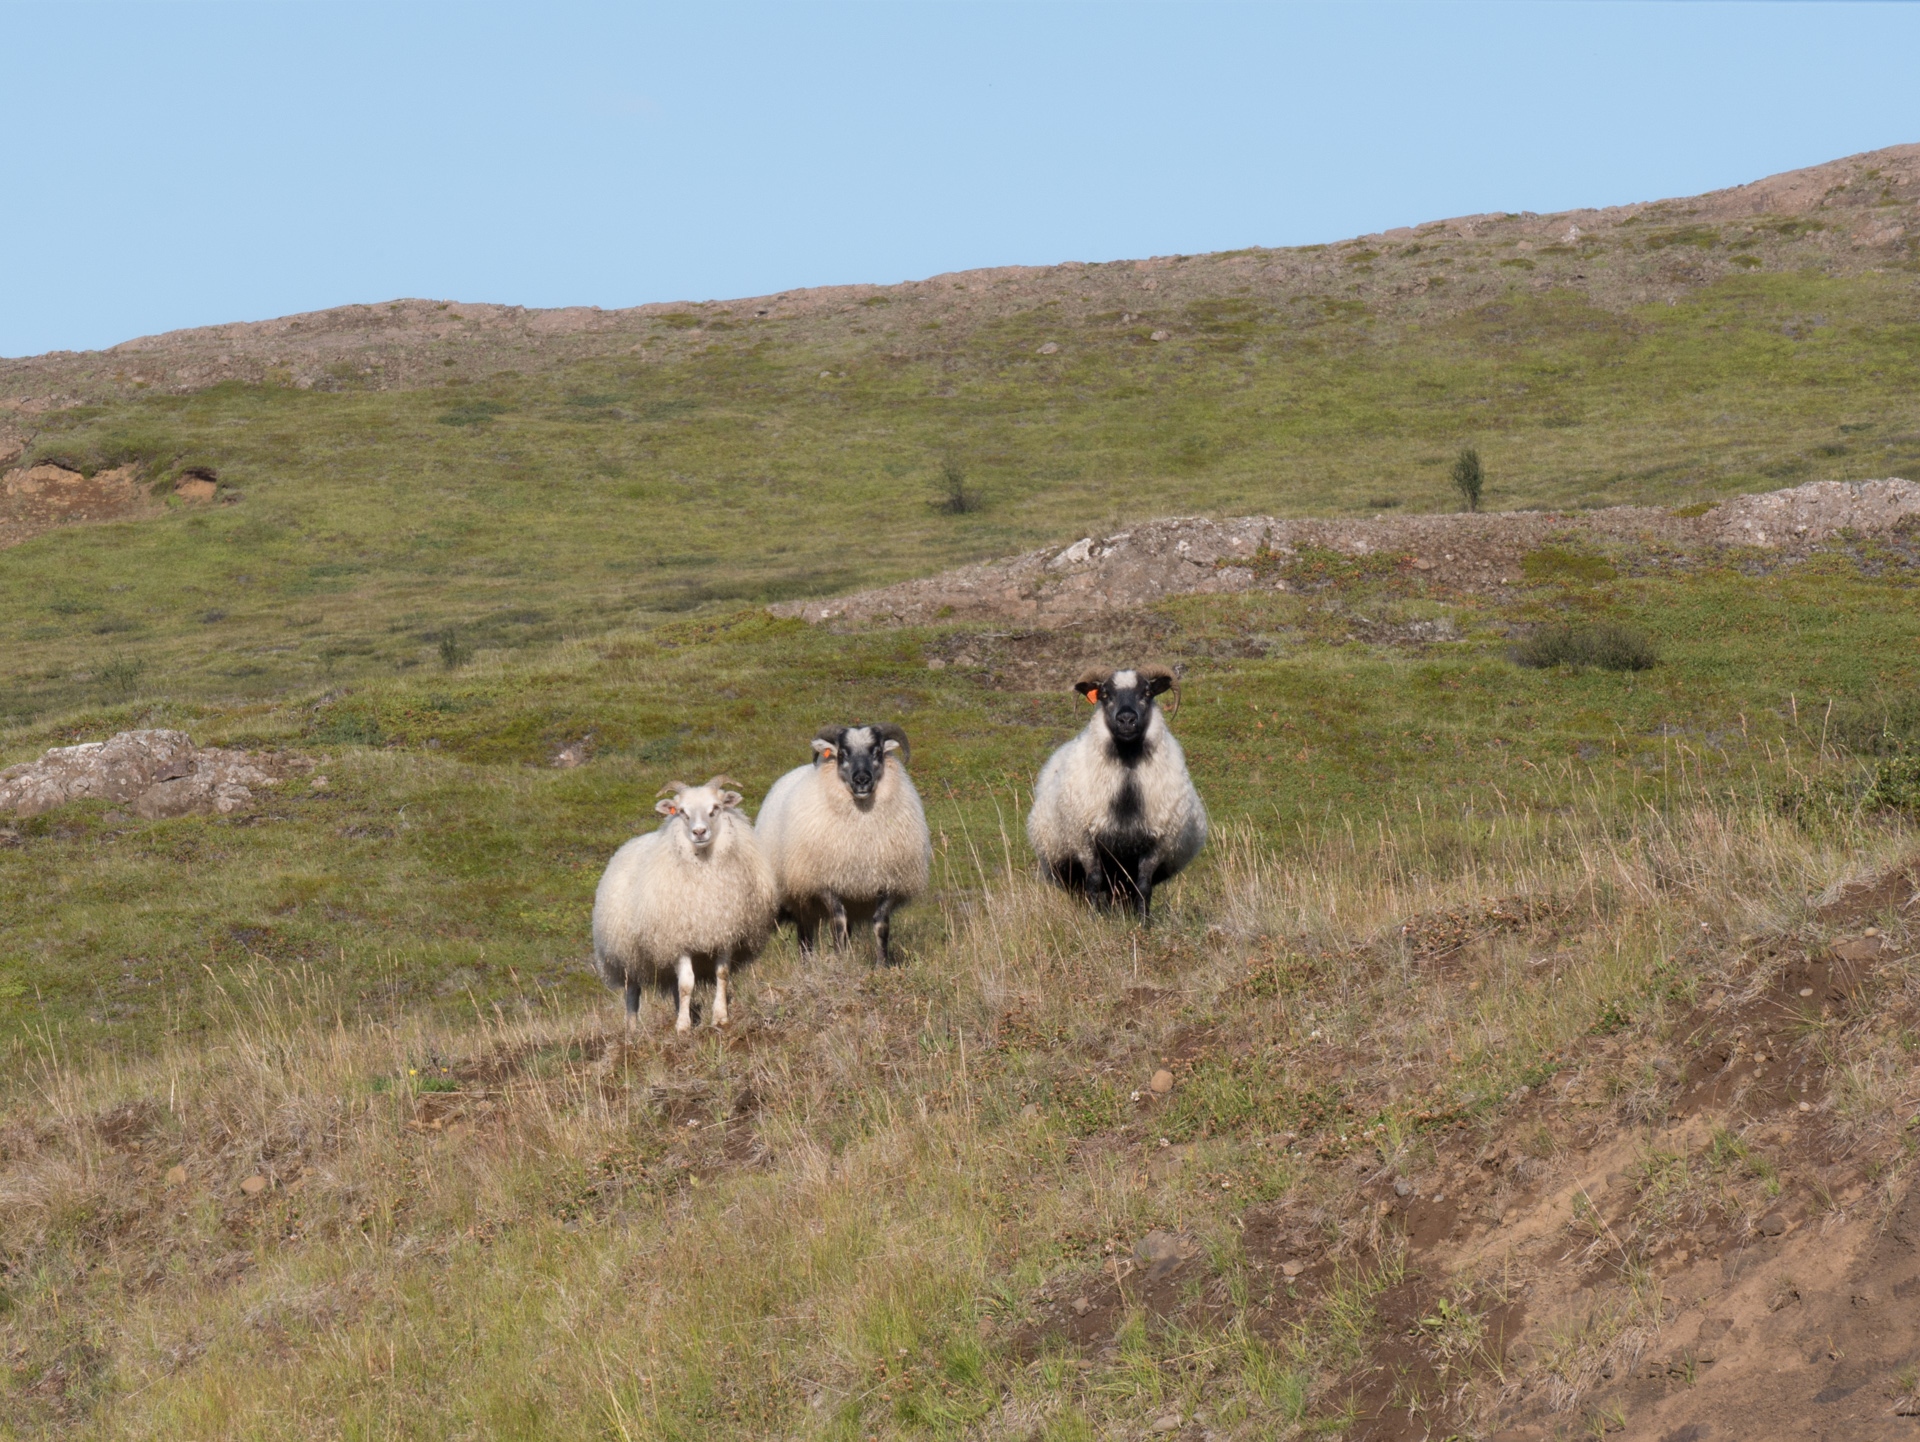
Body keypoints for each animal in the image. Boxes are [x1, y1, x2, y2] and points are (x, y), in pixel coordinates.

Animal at [587, 771, 775, 1029]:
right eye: (682, 811)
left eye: (716, 808)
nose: (699, 832)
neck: (705, 869)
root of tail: (626, 845)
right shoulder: (677, 939)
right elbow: (687, 984)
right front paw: (683, 1027)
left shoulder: (726, 931)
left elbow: (721, 975)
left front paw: (720, 1016)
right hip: (627, 955)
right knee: (632, 991)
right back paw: (633, 1029)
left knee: (674, 986)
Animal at [748, 721, 929, 971]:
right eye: (842, 754)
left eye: (878, 752)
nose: (862, 780)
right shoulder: (824, 881)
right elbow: (838, 922)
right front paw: (841, 961)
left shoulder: (890, 880)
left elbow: (881, 924)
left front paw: (882, 965)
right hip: (800, 897)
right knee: (805, 936)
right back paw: (808, 965)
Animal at [1029, 668, 1205, 925]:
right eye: (1104, 694)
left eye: (1147, 692)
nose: (1127, 719)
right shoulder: (1085, 840)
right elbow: (1093, 882)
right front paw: (1094, 921)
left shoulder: (1155, 844)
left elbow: (1143, 887)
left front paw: (1143, 924)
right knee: (1084, 891)